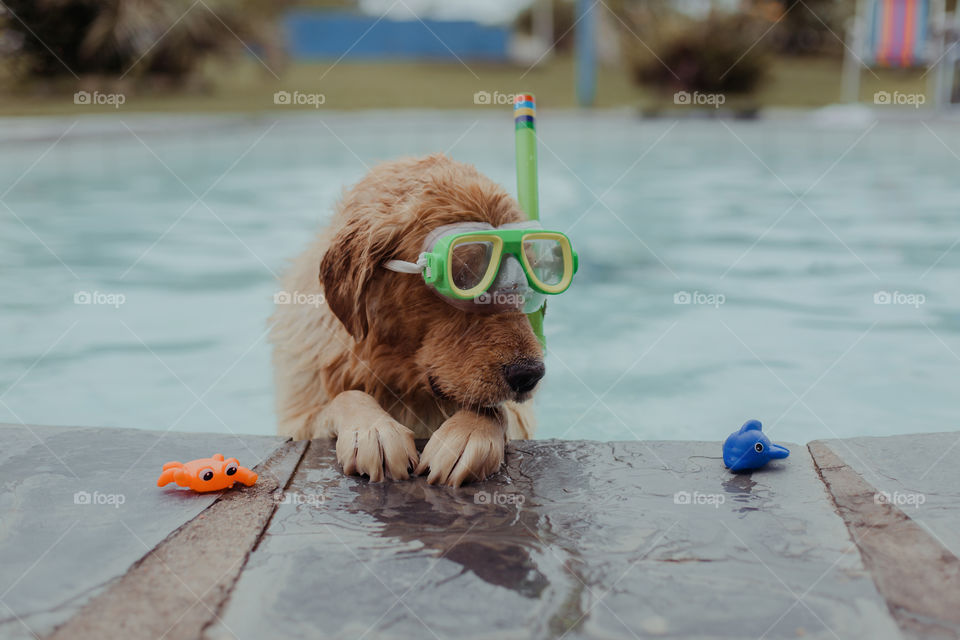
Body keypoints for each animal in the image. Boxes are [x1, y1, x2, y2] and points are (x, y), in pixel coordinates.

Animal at [268, 154, 540, 484]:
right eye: (463, 274)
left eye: (525, 277)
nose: (530, 374)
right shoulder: (301, 419)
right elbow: (345, 396)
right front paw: (373, 430)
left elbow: (496, 410)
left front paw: (468, 433)